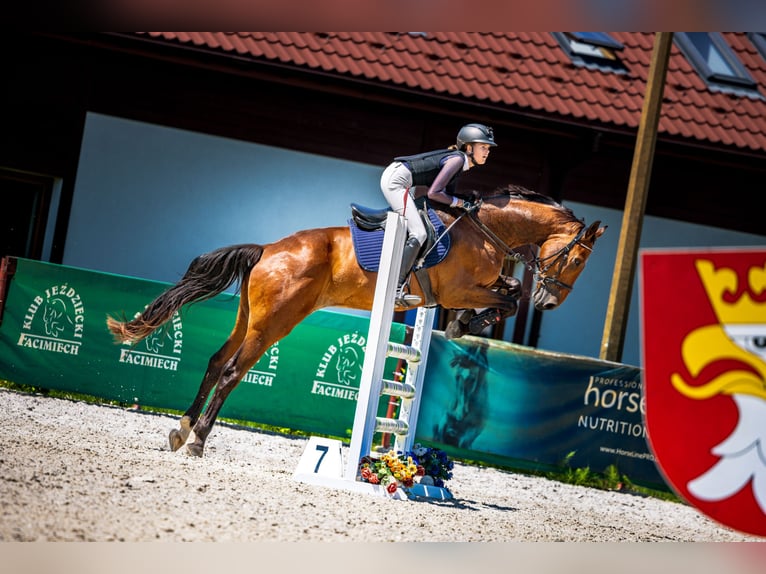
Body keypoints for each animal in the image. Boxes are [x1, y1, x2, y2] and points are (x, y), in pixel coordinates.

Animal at [106, 184, 606, 457]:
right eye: (579, 259)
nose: (550, 303)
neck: (487, 231)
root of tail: (267, 249)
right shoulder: (457, 289)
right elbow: (510, 298)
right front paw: (465, 324)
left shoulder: (467, 290)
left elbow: (509, 293)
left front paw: (466, 324)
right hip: (274, 324)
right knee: (231, 371)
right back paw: (197, 440)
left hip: (249, 318)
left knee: (214, 362)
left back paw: (181, 428)